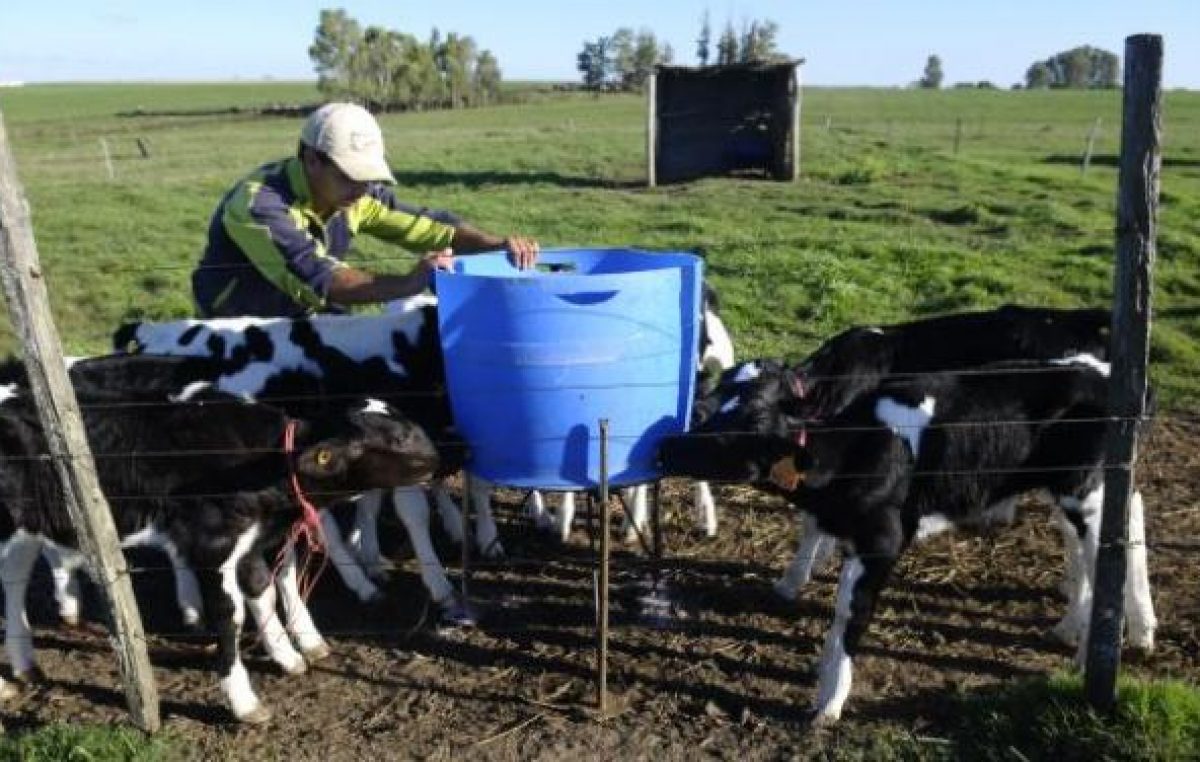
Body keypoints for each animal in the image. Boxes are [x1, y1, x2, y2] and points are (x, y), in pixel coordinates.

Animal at [0, 367, 441, 724]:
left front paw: (288, 656)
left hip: (28, 527)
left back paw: (26, 664)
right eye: (398, 437)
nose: (443, 457)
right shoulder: (212, 546)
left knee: (16, 583)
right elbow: (231, 617)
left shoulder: (249, 543)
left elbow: (263, 591)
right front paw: (244, 701)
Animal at [662, 357, 1156, 729]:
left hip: (1087, 489)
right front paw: (823, 674)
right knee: (1111, 534)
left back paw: (1095, 652)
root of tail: (1105, 376)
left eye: (746, 423)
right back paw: (1094, 627)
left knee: (1111, 547)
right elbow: (840, 609)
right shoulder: (851, 536)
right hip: (1072, 491)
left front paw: (829, 704)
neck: (852, 447)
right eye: (712, 400)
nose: (666, 446)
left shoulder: (882, 539)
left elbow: (852, 612)